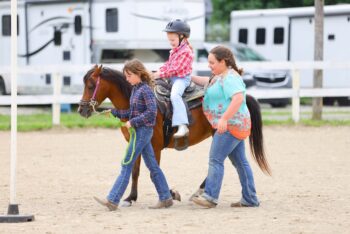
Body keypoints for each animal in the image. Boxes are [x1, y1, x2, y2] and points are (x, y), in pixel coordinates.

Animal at [78, 64, 270, 205]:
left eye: (91, 85)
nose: (81, 109)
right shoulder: (135, 142)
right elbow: (135, 170)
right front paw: (130, 198)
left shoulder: (154, 146)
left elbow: (154, 171)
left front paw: (170, 194)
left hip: (221, 135)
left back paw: (200, 192)